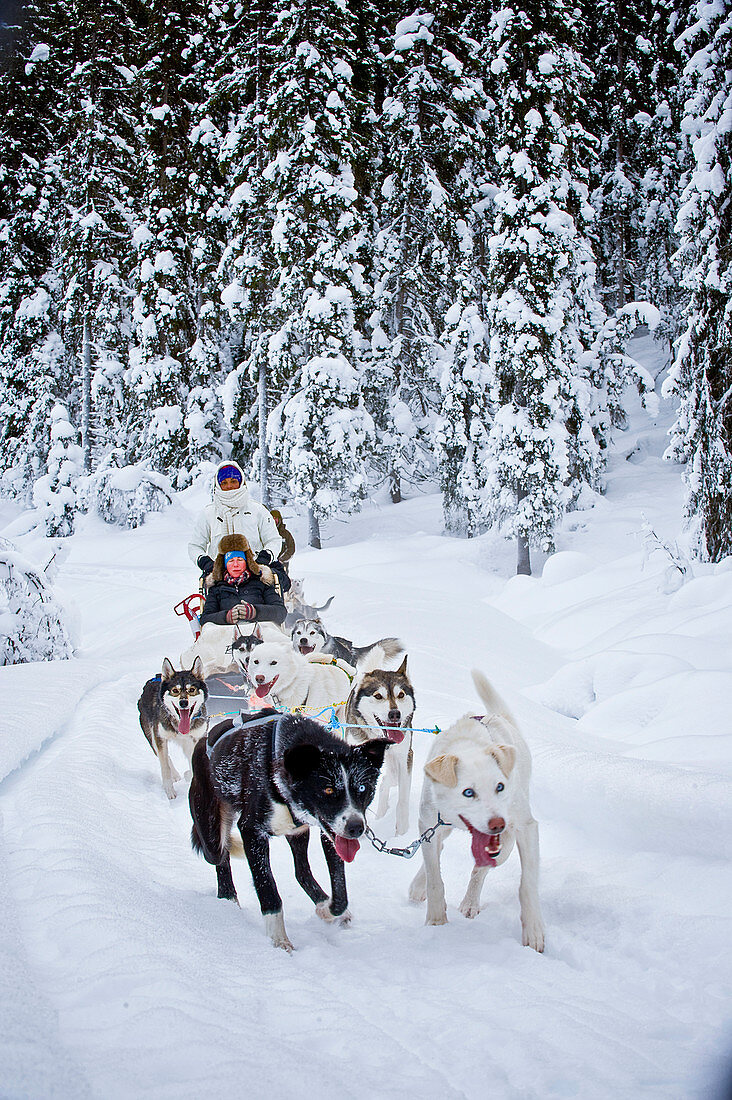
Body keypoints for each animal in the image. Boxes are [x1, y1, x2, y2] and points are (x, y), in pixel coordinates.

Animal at [137, 651, 208, 800]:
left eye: (192, 689)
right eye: (175, 690)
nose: (183, 703)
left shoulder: (197, 739)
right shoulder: (160, 738)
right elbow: (164, 766)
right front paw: (169, 790)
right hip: (152, 737)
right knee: (163, 756)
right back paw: (175, 775)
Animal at [191, 708, 391, 950]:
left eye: (362, 788)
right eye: (328, 789)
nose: (356, 828)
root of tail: (202, 742)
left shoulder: (329, 833)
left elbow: (340, 892)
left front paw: (328, 909)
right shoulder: (252, 831)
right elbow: (267, 888)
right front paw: (279, 939)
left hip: (298, 832)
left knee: (301, 871)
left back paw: (321, 902)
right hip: (212, 828)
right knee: (220, 856)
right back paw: (228, 898)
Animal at [339, 646, 416, 836]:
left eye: (401, 694)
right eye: (378, 696)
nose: (395, 714)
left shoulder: (405, 757)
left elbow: (402, 799)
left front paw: (402, 833)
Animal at [407, 664, 545, 950]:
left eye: (500, 786)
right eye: (468, 792)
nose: (498, 824)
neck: (469, 745)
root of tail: (498, 716)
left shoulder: (525, 828)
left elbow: (527, 884)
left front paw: (534, 930)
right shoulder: (429, 822)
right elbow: (435, 877)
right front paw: (436, 921)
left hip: (506, 844)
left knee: (480, 869)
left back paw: (470, 902)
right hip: (440, 825)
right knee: (438, 851)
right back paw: (419, 885)